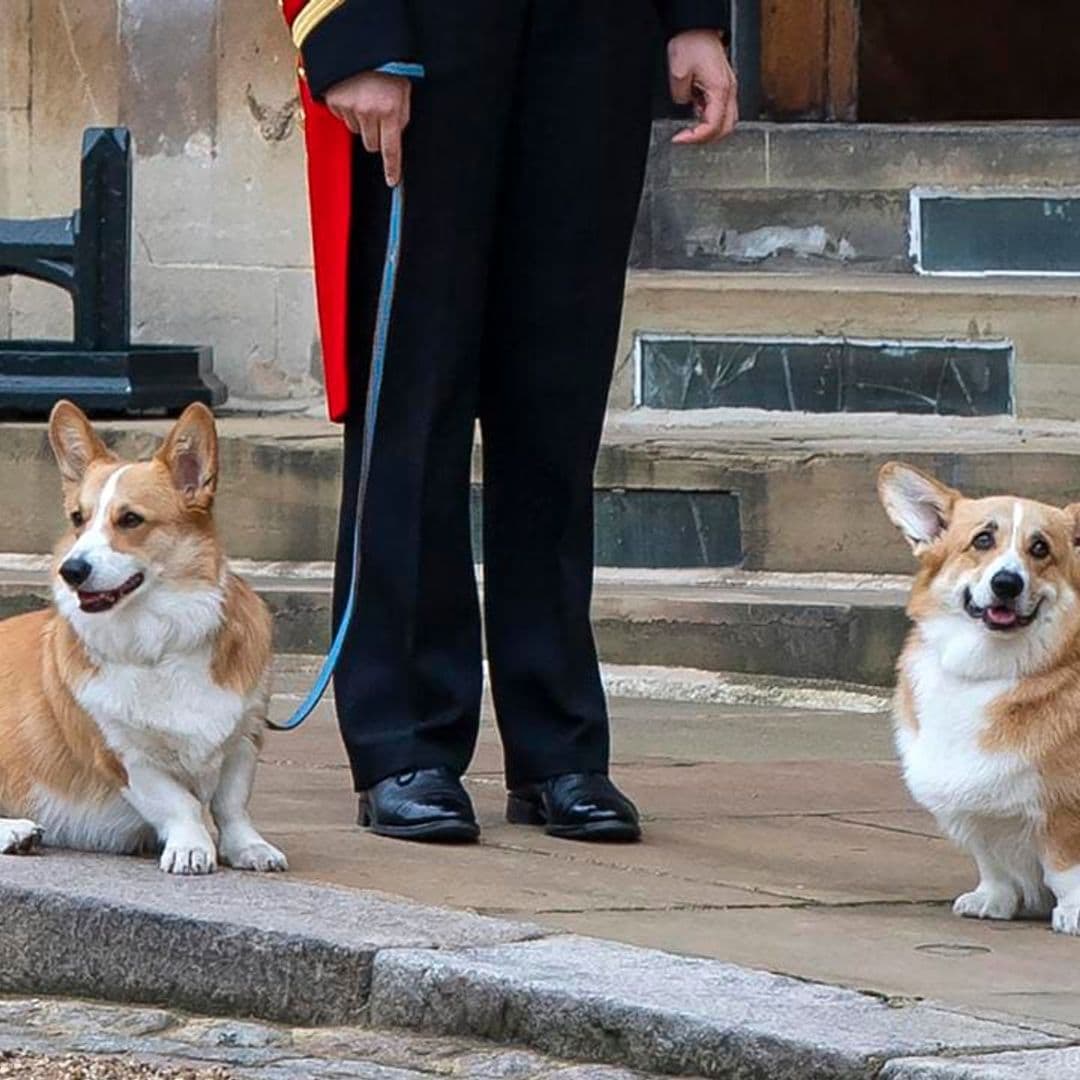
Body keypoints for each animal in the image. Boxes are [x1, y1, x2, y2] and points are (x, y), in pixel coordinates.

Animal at [0, 406, 285, 876]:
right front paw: (191, 848)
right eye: (77, 519)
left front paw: (250, 848)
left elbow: (232, 805)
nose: (70, 570)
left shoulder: (244, 738)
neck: (158, 642)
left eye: (130, 519)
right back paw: (14, 831)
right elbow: (178, 803)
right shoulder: (125, 756)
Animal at [876, 466, 1080, 937]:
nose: (1007, 583)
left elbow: (1065, 869)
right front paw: (993, 899)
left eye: (1040, 548)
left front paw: (1075, 912)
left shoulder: (1064, 810)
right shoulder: (974, 808)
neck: (986, 671)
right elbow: (993, 861)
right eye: (983, 540)